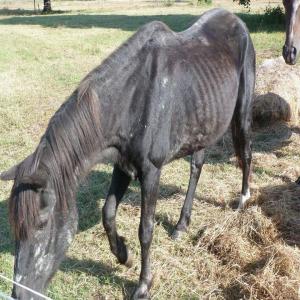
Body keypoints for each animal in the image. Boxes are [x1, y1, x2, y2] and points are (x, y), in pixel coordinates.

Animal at [0, 8, 255, 300]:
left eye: (42, 223)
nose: (18, 294)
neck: (132, 98)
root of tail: (237, 21)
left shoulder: (151, 171)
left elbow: (146, 229)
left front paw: (143, 284)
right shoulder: (122, 165)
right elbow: (108, 214)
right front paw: (124, 256)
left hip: (242, 110)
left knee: (246, 152)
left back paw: (243, 199)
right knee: (197, 167)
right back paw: (181, 225)